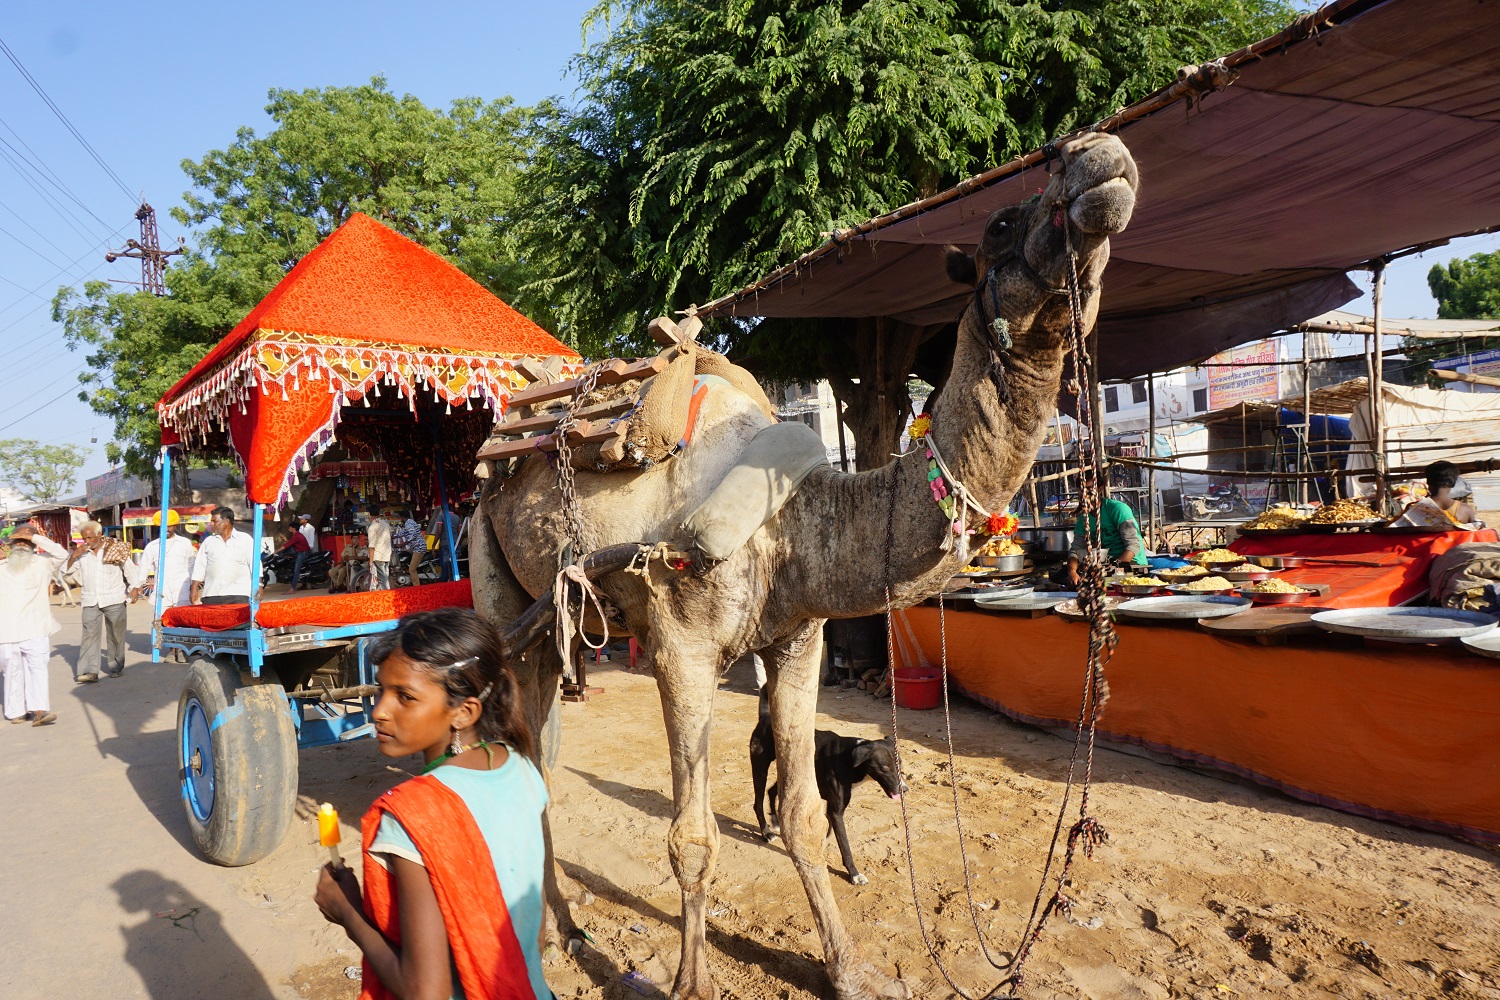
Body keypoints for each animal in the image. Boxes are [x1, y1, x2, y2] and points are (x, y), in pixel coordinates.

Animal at [470, 132, 1138, 1000]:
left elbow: (802, 815)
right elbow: (692, 837)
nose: (1099, 156)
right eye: (997, 224)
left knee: (543, 757)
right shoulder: (681, 646)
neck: (791, 525)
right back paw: (553, 938)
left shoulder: (798, 637)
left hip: (559, 618)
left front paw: (847, 968)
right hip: (493, 576)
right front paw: (690, 986)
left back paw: (567, 925)